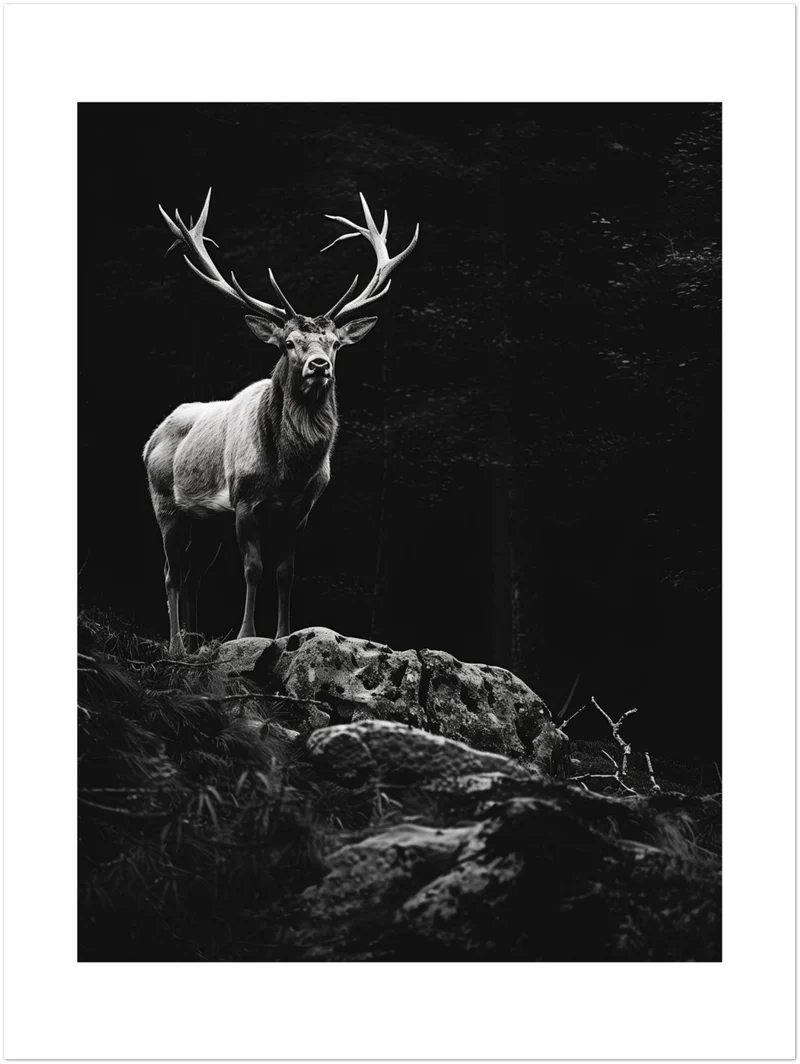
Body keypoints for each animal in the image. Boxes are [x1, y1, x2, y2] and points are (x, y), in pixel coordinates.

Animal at [143, 189, 418, 654]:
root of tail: (150, 438)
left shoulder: (301, 509)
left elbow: (286, 573)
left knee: (194, 576)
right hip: (166, 504)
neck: (288, 471)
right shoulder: (243, 501)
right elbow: (253, 568)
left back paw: (196, 645)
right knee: (171, 574)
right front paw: (245, 636)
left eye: (334, 343)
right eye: (289, 342)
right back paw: (177, 646)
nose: (319, 365)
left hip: (208, 523)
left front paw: (284, 634)